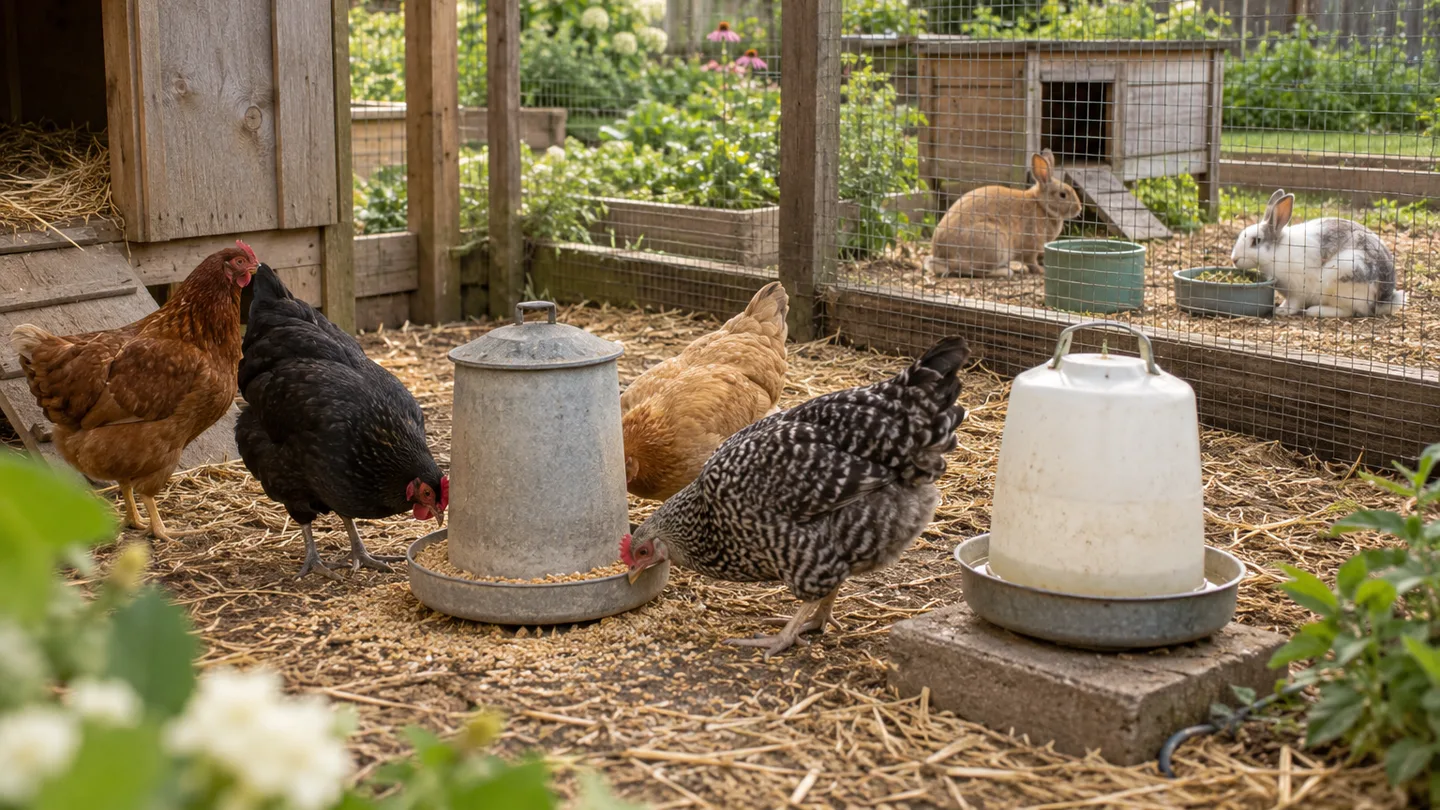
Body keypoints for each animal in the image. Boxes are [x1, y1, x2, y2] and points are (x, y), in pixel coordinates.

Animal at [924, 150, 1084, 278]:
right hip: (993, 242)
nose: (1079, 209)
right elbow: (1031, 261)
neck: (1041, 204)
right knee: (971, 270)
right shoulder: (1031, 245)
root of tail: (943, 255)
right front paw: (1041, 270)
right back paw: (1006, 272)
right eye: (1063, 195)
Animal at [1231, 189, 1406, 318]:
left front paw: (1281, 311)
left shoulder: (1296, 291)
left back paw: (1315, 310)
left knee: (1350, 311)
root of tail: (1384, 301)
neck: (1277, 251)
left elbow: (1293, 303)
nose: (1234, 259)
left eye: (1256, 241)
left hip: (1344, 274)